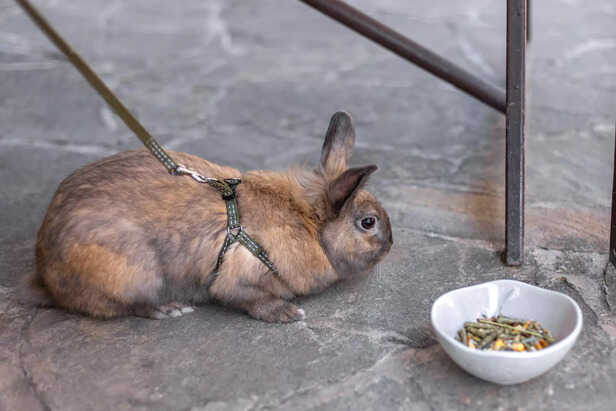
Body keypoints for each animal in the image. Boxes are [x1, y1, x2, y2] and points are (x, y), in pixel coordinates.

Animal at [25, 111, 393, 323]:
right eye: (368, 222)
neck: (307, 223)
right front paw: (288, 314)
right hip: (134, 273)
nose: (390, 245)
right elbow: (249, 299)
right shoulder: (238, 278)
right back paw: (168, 309)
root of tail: (46, 269)